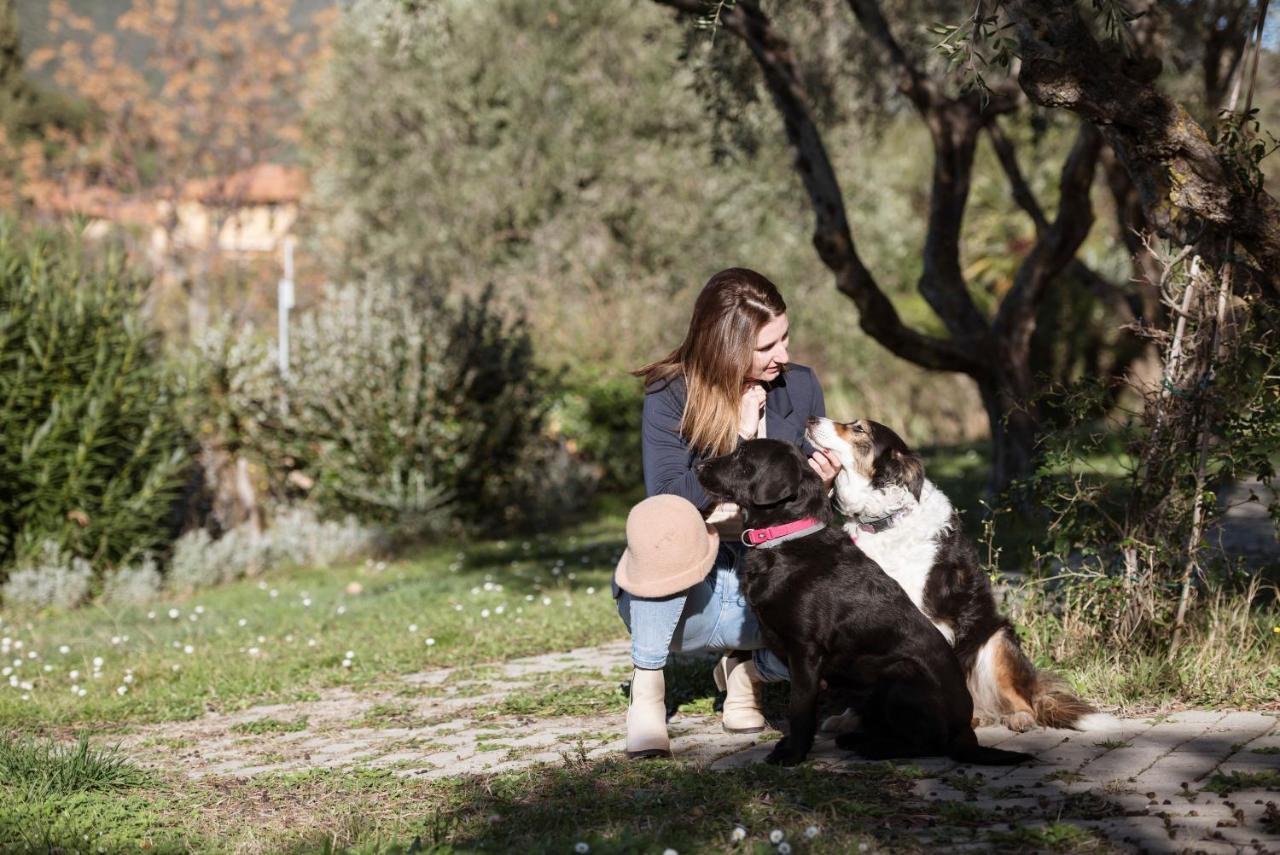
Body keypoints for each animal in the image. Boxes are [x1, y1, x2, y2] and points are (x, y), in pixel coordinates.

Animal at [696, 440, 1034, 767]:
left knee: (929, 742)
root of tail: (964, 731)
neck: (784, 538)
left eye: (742, 454)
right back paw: (859, 739)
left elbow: (799, 709)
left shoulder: (805, 650)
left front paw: (792, 754)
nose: (699, 466)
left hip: (899, 673)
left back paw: (875, 748)